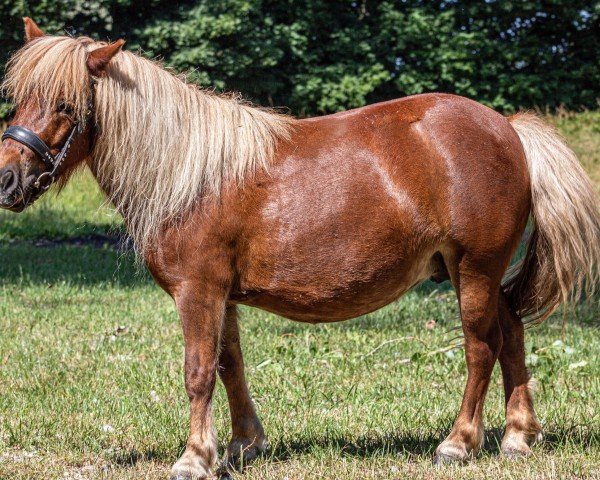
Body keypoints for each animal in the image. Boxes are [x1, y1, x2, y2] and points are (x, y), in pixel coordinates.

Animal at [3, 18, 600, 480]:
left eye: (65, 104)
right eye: (17, 97)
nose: (7, 180)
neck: (191, 175)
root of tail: (508, 128)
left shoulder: (198, 290)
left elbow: (199, 371)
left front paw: (195, 457)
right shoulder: (223, 296)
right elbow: (229, 364)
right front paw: (242, 445)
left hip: (473, 269)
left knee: (481, 347)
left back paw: (458, 442)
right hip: (474, 272)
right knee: (513, 332)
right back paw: (518, 436)